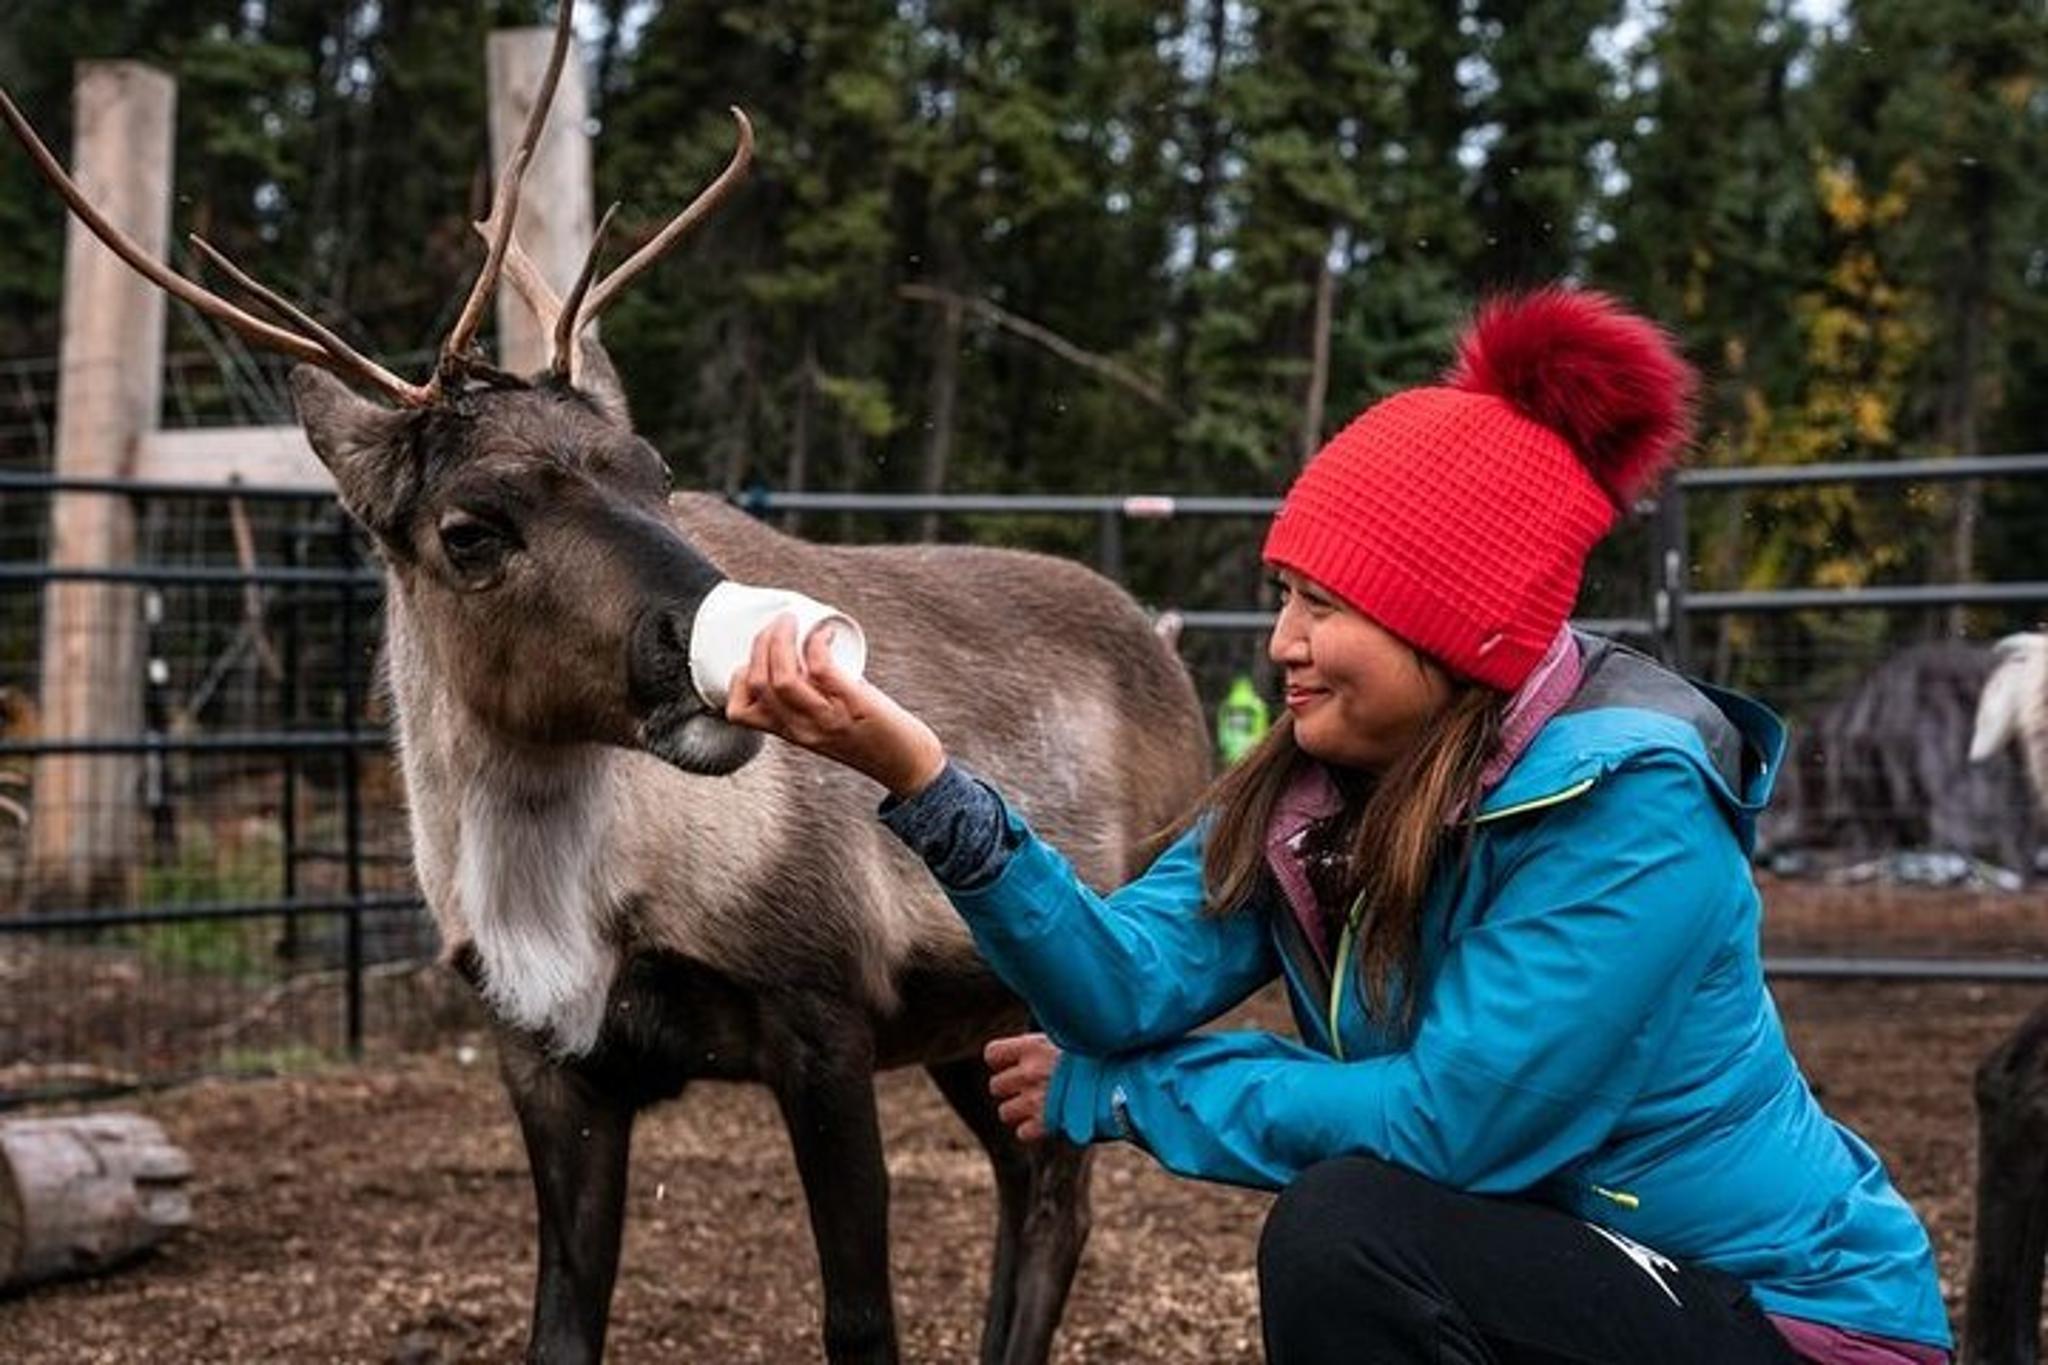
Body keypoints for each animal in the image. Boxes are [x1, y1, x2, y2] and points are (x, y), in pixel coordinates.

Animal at [0, 8, 1211, 1362]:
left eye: (654, 468)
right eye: (470, 528)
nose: (714, 638)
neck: (564, 902)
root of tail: (1174, 664)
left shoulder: (823, 1009)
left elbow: (857, 1319)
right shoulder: (545, 1059)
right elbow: (561, 1324)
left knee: (1057, 1200)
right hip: (981, 1023)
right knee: (1032, 1192)